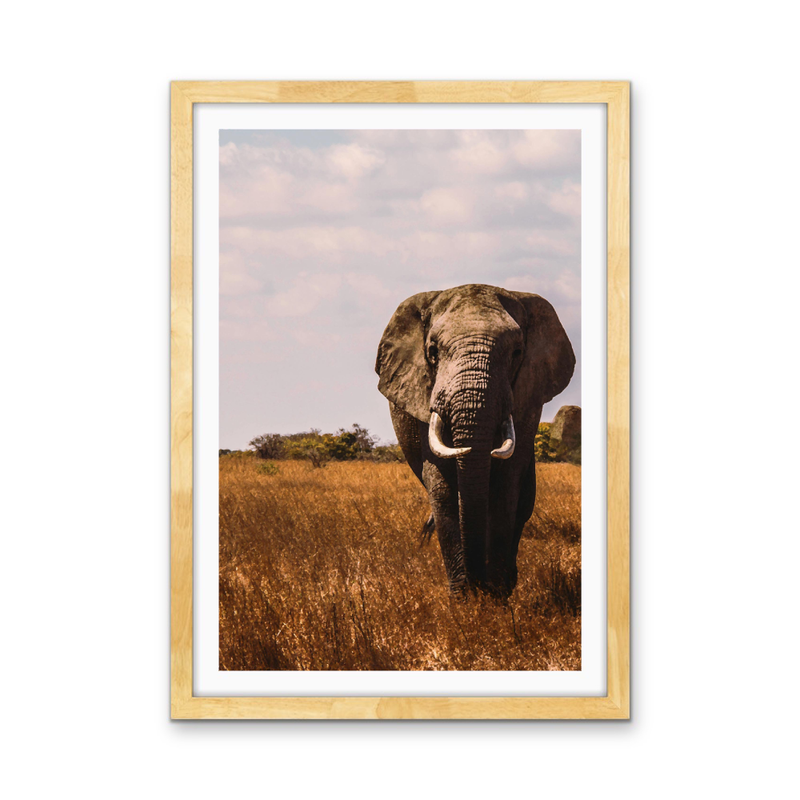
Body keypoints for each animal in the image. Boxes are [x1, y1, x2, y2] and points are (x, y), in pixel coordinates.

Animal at [375, 284, 575, 599]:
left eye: (517, 352)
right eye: (432, 351)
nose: (477, 585)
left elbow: (507, 484)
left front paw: (495, 597)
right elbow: (443, 486)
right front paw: (464, 600)